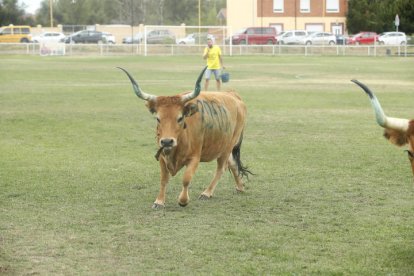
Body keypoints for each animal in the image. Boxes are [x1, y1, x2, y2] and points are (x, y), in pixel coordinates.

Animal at [118, 68, 251, 208]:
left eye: (180, 118)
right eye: (158, 118)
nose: (167, 141)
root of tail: (233, 95)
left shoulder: (195, 158)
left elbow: (186, 179)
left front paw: (183, 200)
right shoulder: (162, 157)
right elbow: (163, 179)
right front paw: (159, 201)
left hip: (228, 146)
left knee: (221, 168)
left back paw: (207, 192)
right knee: (233, 163)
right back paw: (240, 187)